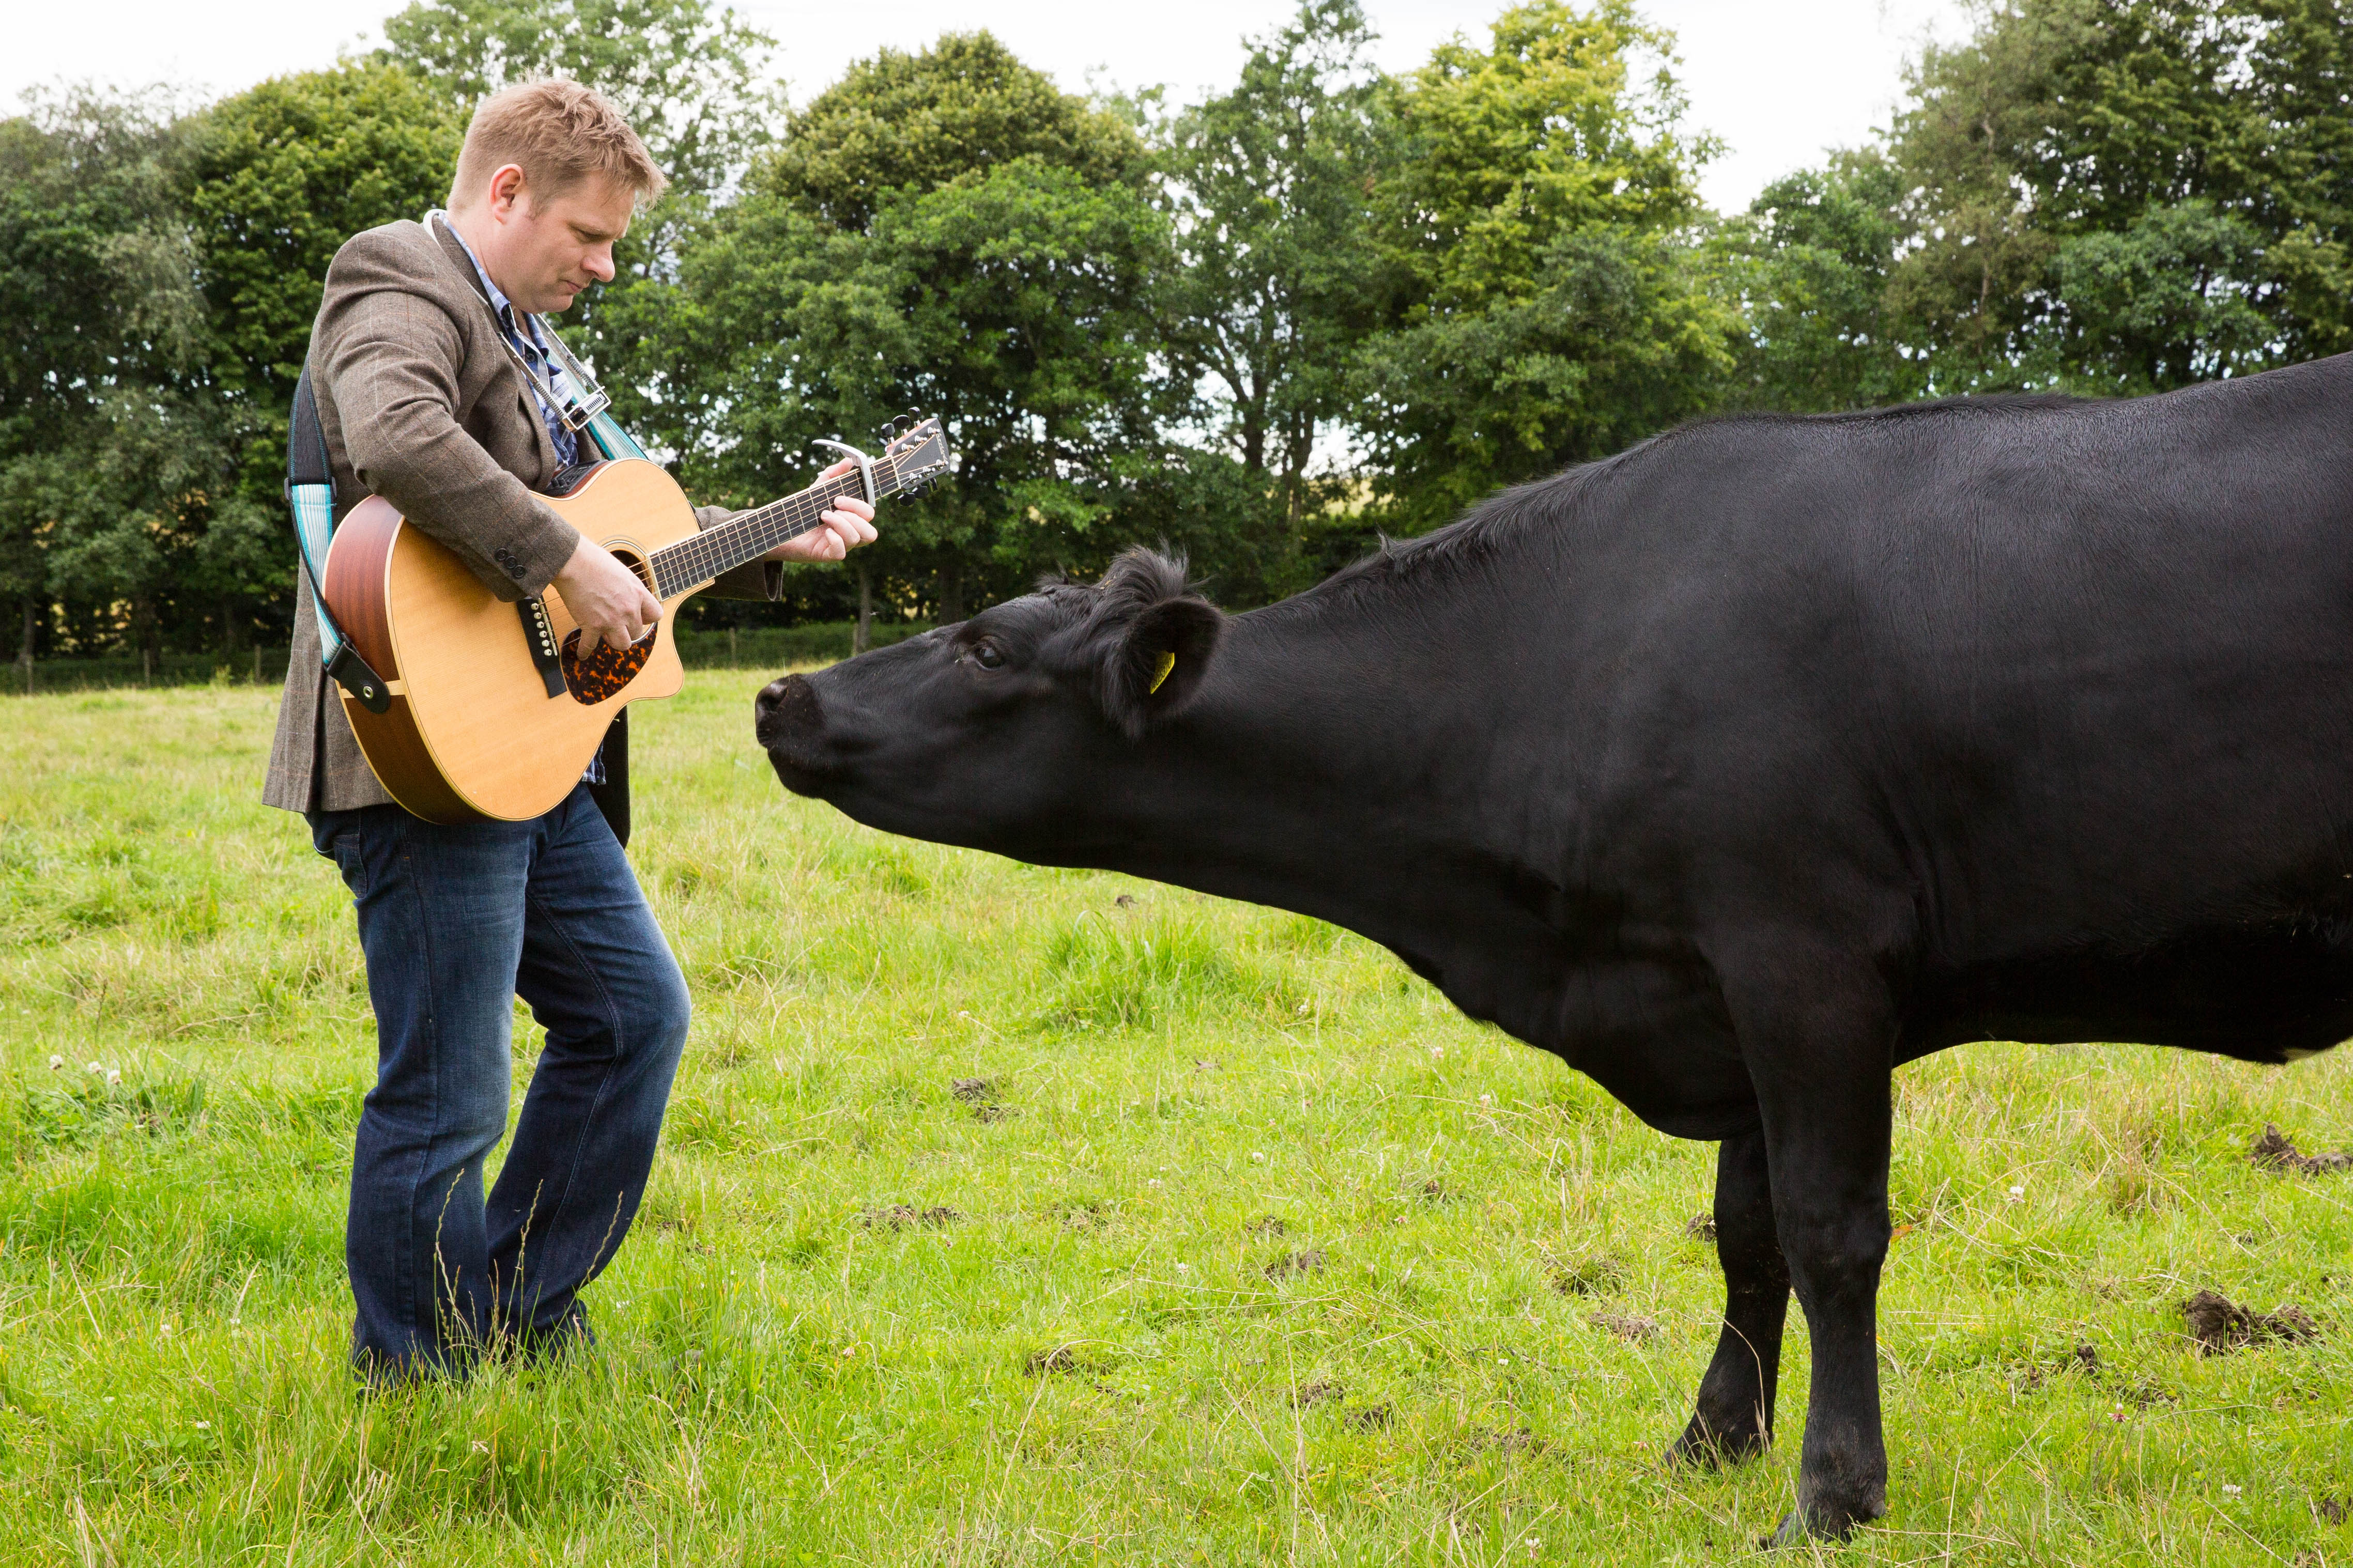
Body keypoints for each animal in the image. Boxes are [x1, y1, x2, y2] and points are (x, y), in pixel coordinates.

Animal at [758, 355, 2353, 1542]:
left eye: (982, 645)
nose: (783, 696)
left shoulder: (1805, 954)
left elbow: (1831, 1229)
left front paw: (1830, 1495)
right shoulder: (1712, 976)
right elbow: (1744, 1231)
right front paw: (1709, 1443)